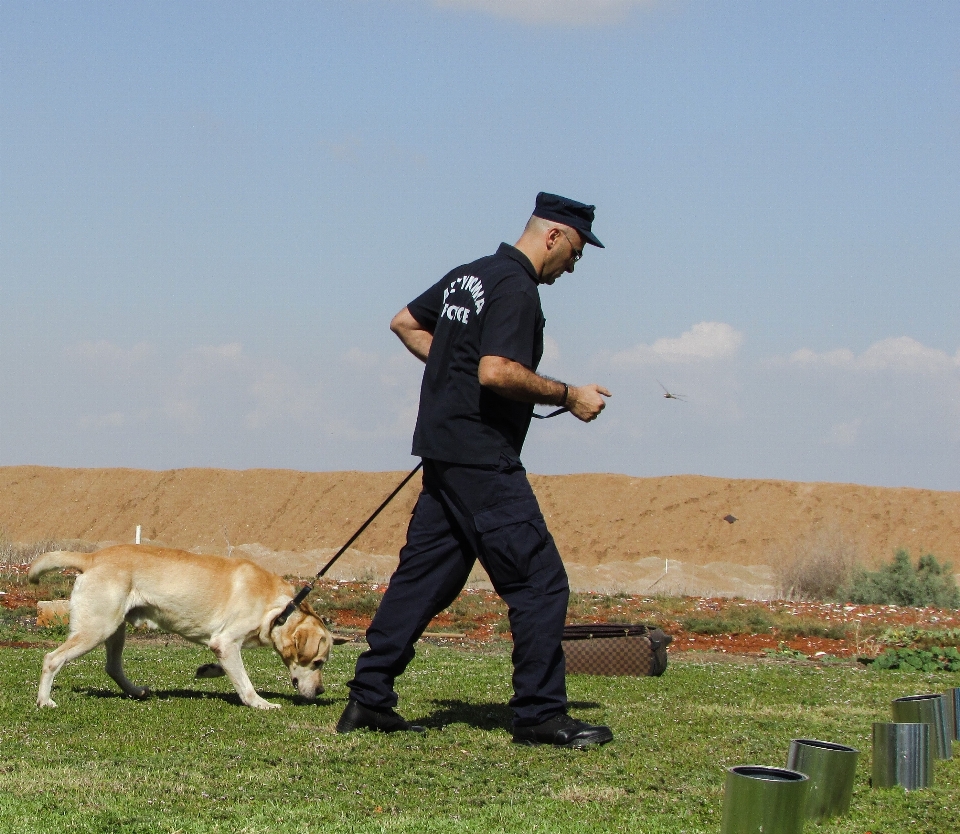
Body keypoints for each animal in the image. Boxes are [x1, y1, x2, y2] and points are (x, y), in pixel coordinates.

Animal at [28, 544, 346, 708]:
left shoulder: (224, 644)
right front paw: (259, 703)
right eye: (318, 662)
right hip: (97, 628)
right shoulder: (226, 641)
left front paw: (209, 670)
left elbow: (231, 669)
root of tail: (91, 557)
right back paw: (44, 700)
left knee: (113, 667)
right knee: (51, 658)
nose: (320, 691)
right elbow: (244, 681)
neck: (281, 609)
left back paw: (135, 691)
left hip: (115, 630)